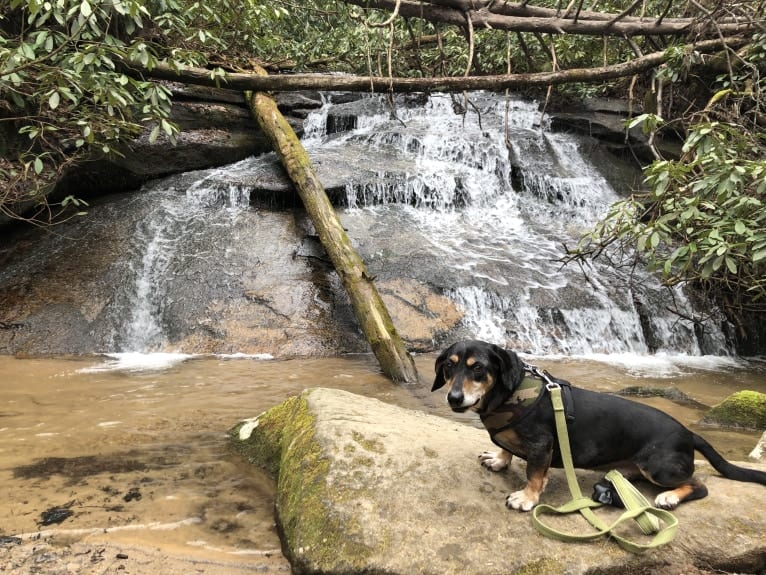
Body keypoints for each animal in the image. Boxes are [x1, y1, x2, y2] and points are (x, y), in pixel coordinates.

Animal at [432, 340, 766, 510]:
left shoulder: (541, 445)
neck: (508, 396)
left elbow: (534, 475)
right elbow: (506, 450)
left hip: (659, 467)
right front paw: (499, 459)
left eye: (479, 368)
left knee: (699, 485)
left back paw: (671, 496)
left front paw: (526, 498)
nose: (454, 398)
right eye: (448, 366)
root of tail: (688, 432)